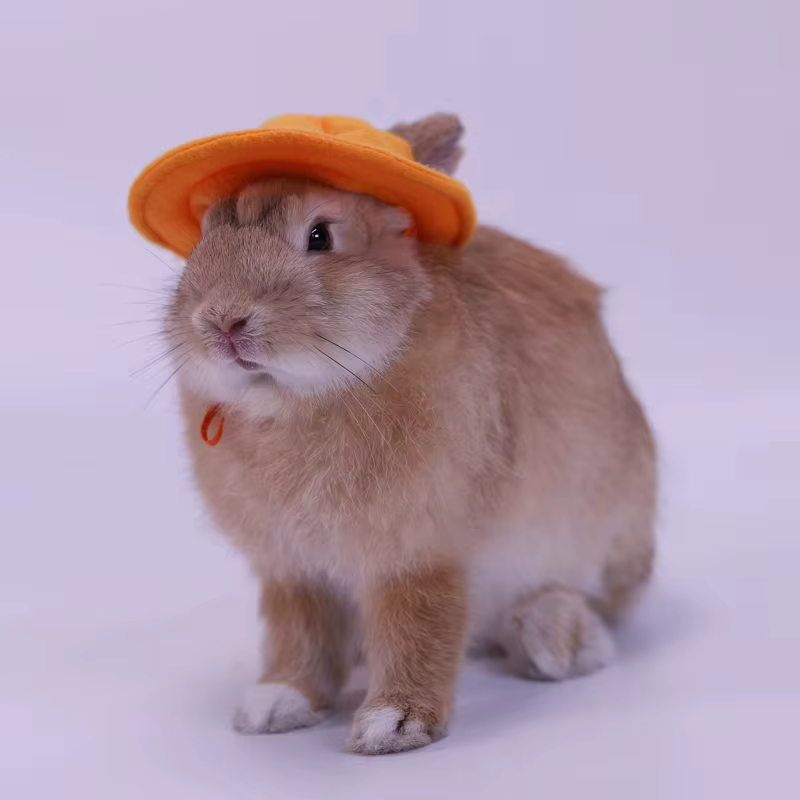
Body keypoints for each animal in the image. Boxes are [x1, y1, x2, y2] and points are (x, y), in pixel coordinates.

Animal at [165, 113, 657, 755]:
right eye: (206, 236)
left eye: (320, 236)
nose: (223, 320)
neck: (299, 398)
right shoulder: (294, 571)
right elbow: (297, 633)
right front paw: (275, 703)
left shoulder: (420, 551)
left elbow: (420, 623)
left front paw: (393, 724)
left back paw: (558, 642)